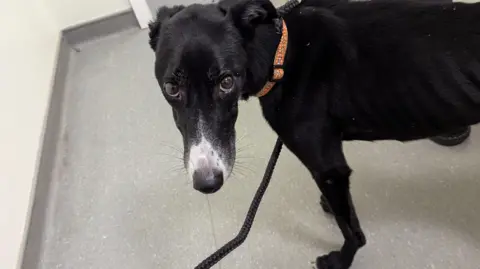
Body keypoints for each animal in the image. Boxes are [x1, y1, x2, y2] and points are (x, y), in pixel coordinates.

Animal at [148, 0, 480, 266]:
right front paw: (329, 207)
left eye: (227, 81)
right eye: (171, 87)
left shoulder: (329, 168)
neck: (280, 57)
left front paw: (341, 260)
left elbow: (352, 230)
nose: (207, 182)